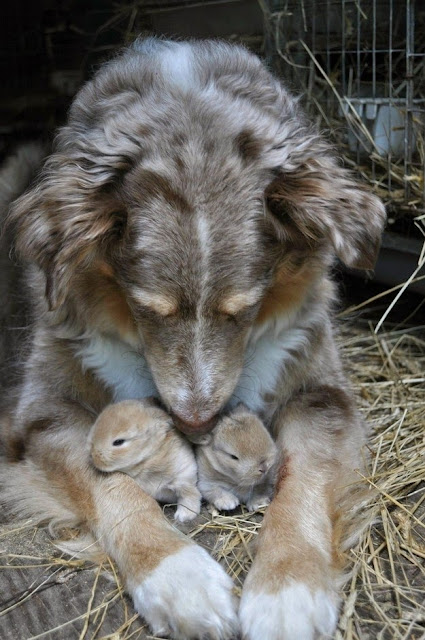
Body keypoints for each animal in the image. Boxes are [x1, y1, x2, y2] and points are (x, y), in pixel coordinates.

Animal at [0, 37, 384, 636]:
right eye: (146, 308)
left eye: (244, 309)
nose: (197, 424)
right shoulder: (44, 411)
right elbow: (108, 482)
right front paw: (180, 580)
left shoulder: (321, 392)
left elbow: (303, 479)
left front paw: (287, 592)